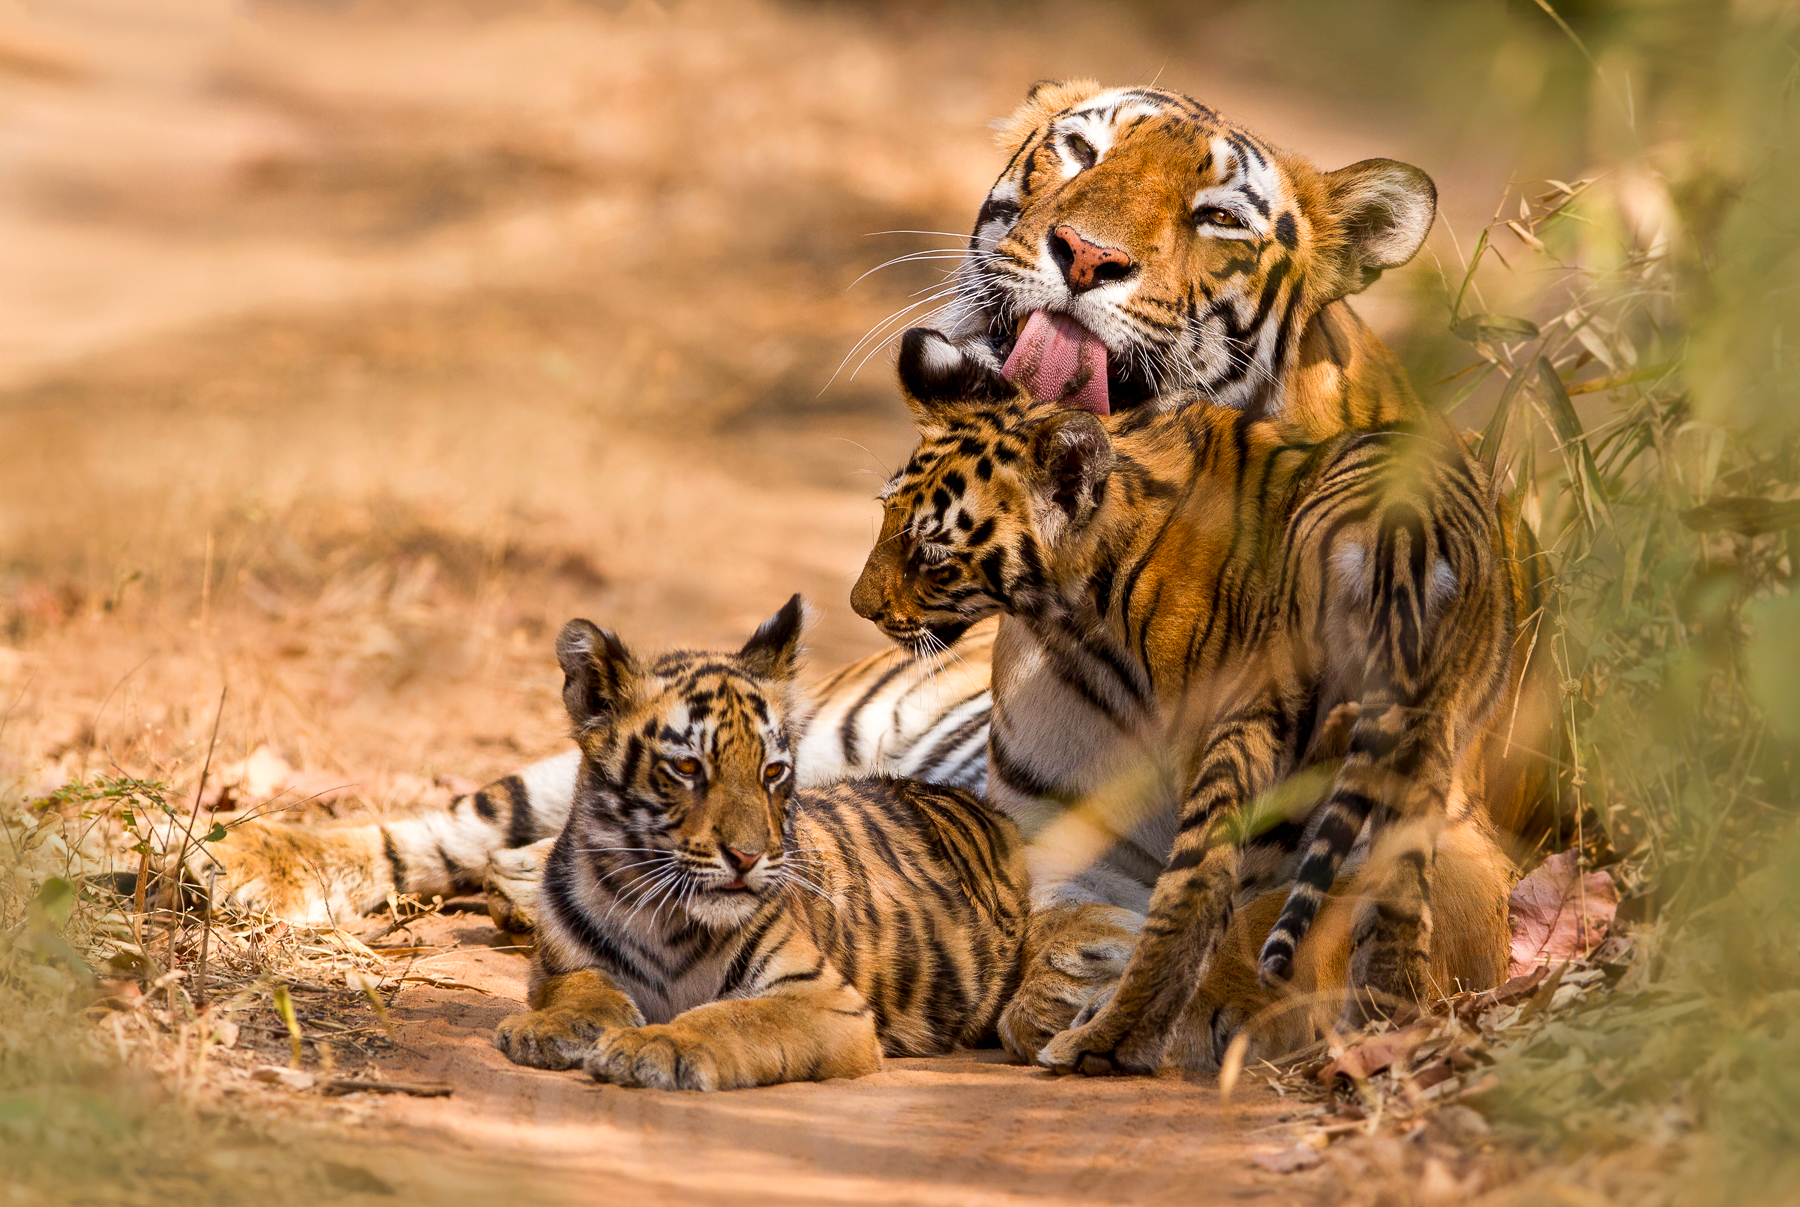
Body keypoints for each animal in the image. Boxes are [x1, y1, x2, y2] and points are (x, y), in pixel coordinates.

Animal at [492, 595, 1030, 1090]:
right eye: (687, 767)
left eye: (772, 772)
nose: (746, 857)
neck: (659, 918)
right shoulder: (560, 966)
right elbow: (581, 989)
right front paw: (546, 1028)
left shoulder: (824, 1000)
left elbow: (731, 1018)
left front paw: (654, 1045)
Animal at [851, 329, 1518, 1073]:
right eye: (884, 515)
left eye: (933, 557)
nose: (859, 605)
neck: (1085, 625)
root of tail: (1401, 534)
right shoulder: (1071, 835)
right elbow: (1067, 922)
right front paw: (1058, 992)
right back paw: (1383, 1029)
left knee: (1203, 899)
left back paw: (1107, 1042)